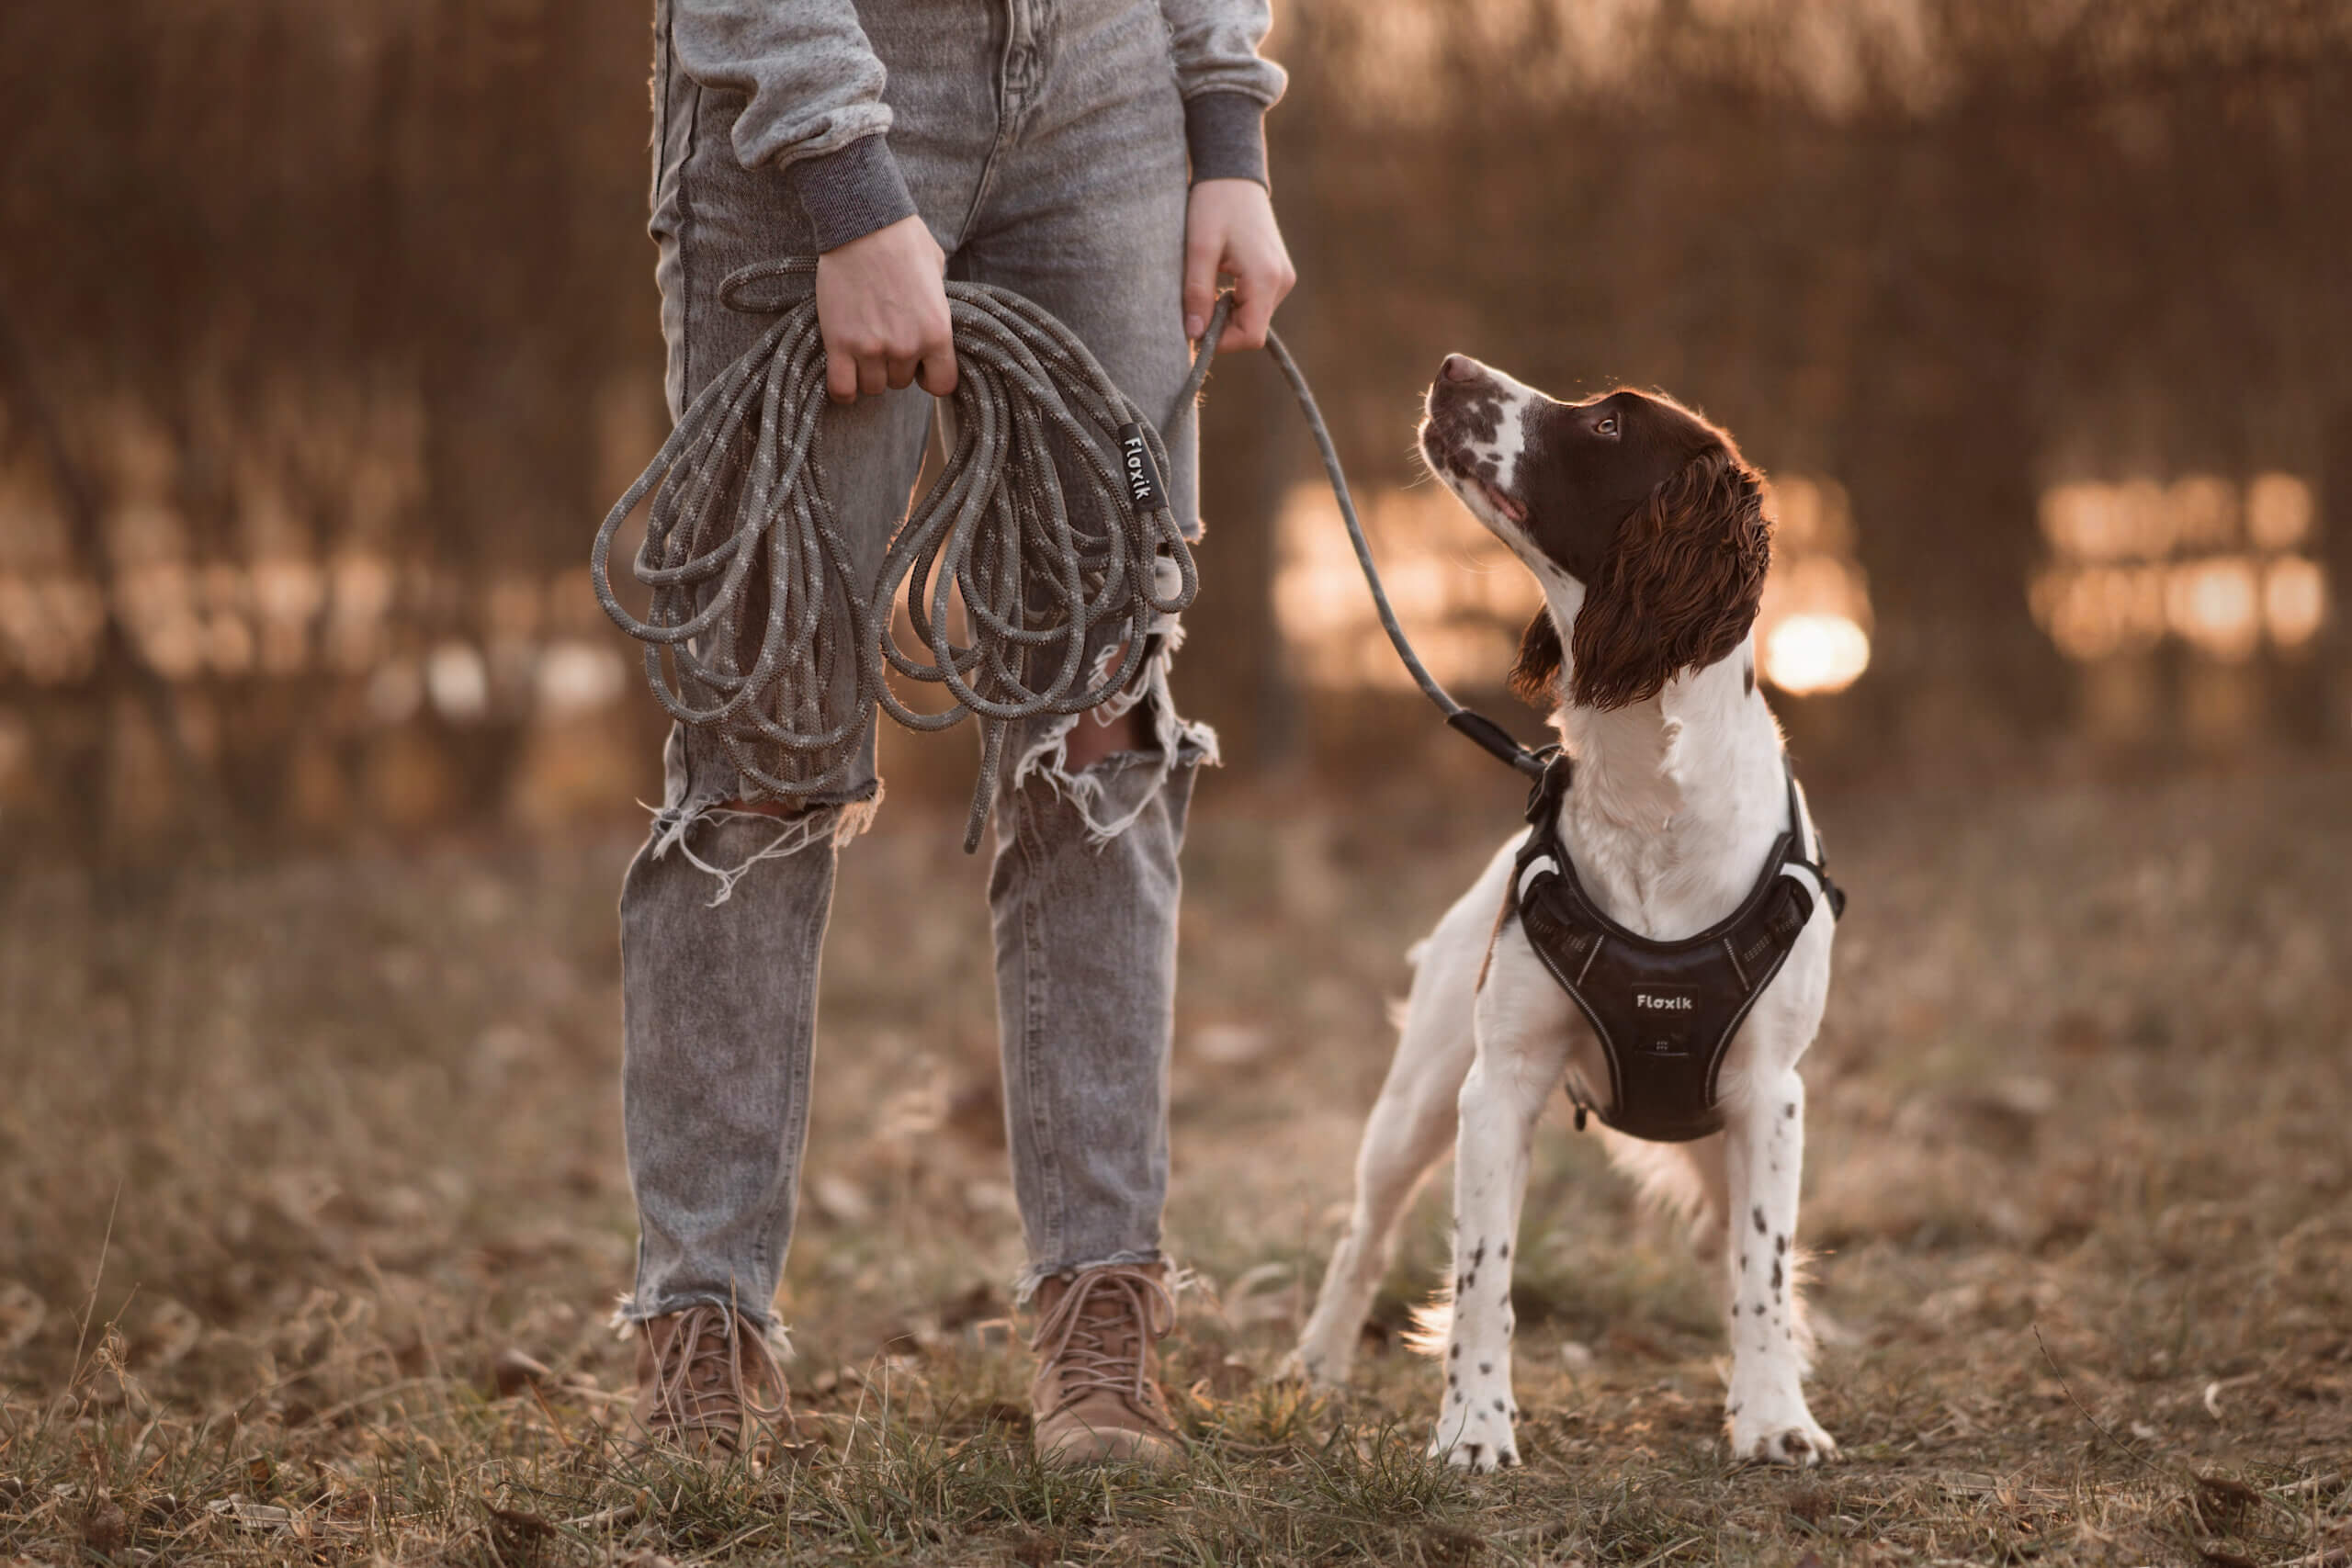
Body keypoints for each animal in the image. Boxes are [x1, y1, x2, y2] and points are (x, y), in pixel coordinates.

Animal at [1298, 352, 1844, 1476]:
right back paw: (1318, 1365)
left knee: (1734, 1249)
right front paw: (1471, 1427)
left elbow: (1764, 1269)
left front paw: (1775, 1416)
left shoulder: (1770, 1095)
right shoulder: (1495, 1087)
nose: (1451, 365)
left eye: (1604, 426)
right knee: (1364, 1234)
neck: (1650, 798)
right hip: (1416, 1099)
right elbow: (1482, 1275)